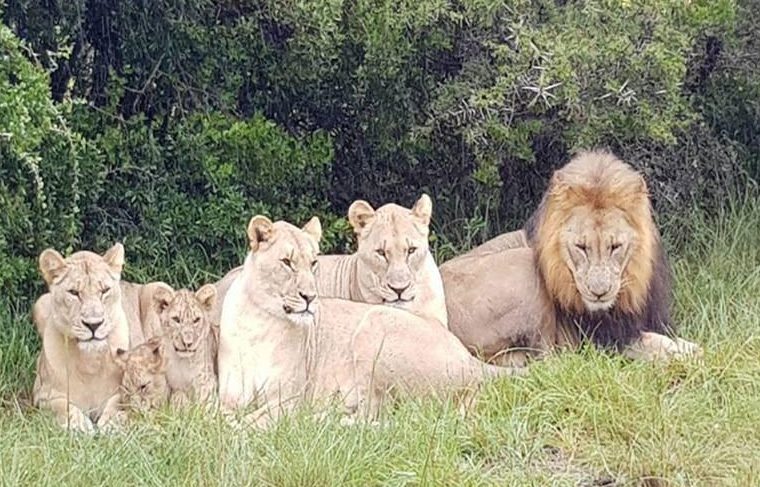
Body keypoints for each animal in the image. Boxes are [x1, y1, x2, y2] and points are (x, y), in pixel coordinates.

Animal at [31, 246, 131, 432]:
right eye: (74, 293)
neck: (89, 361)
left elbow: (119, 402)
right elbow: (62, 406)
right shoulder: (42, 395)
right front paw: (79, 424)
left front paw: (111, 423)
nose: (94, 324)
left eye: (105, 290)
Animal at [215, 215, 524, 426]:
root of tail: (468, 357)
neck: (259, 322)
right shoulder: (228, 396)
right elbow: (213, 418)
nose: (310, 296)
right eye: (287, 262)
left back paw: (321, 420)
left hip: (373, 327)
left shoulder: (288, 399)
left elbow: (251, 421)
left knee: (377, 415)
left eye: (313, 263)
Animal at [442, 151, 704, 368]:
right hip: (525, 264)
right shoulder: (603, 339)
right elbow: (654, 344)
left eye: (615, 247)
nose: (599, 293)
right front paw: (691, 356)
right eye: (581, 247)